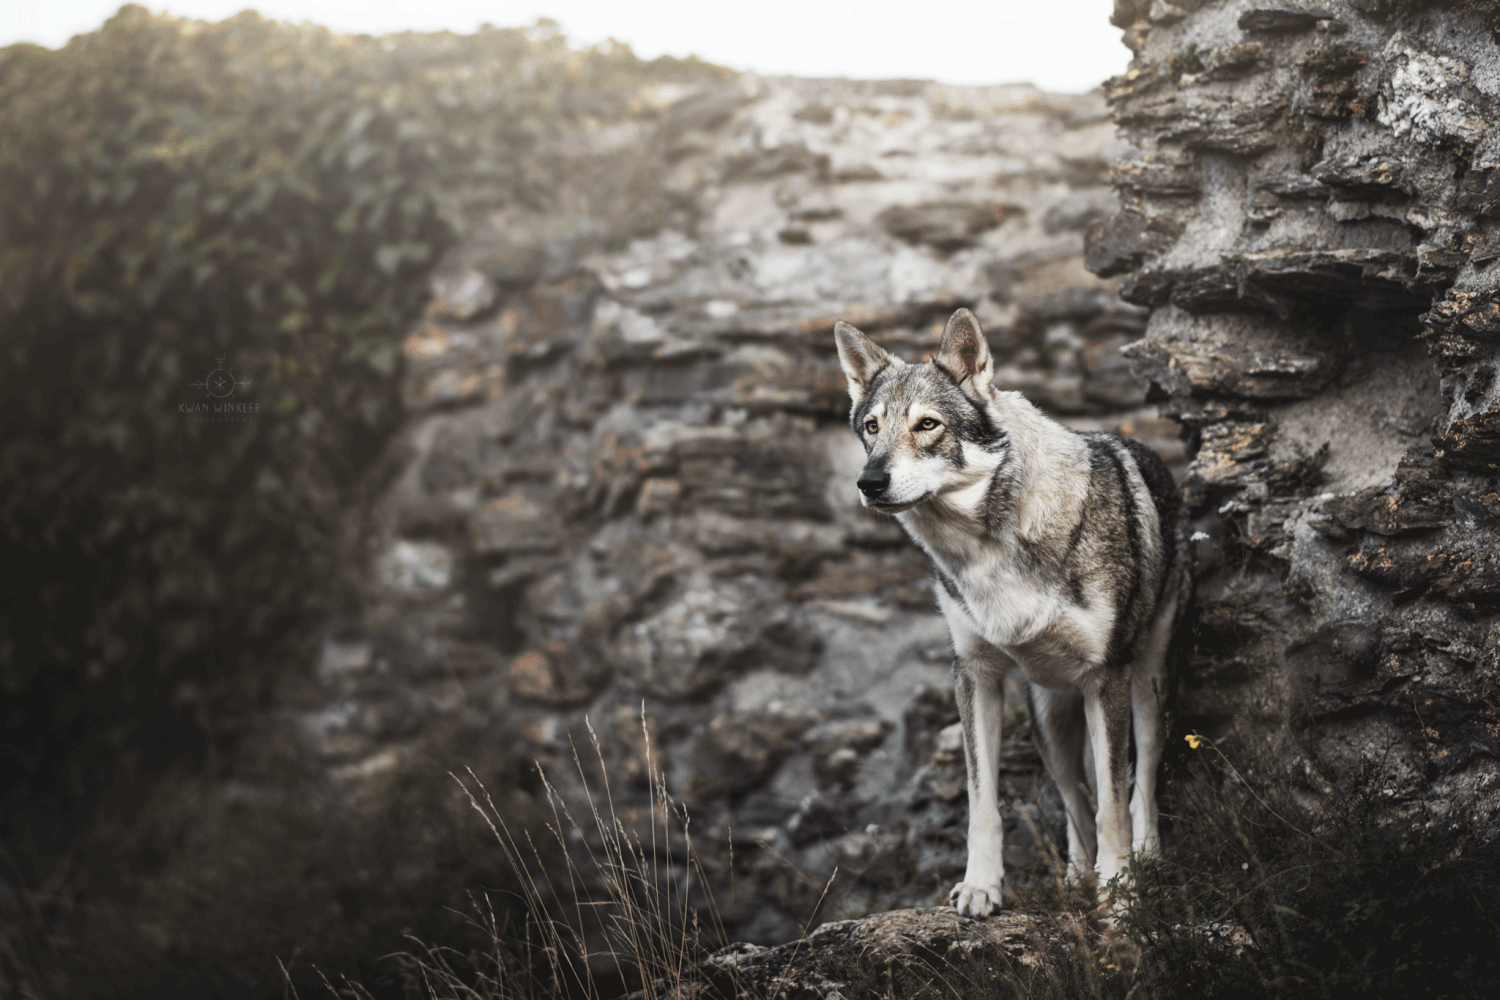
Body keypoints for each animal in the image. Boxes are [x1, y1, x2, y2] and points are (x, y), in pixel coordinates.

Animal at [834, 308, 1188, 917]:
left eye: (927, 425)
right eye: (872, 428)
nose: (870, 482)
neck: (990, 547)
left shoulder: (1107, 677)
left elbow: (1114, 802)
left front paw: (1119, 897)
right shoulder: (975, 674)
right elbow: (983, 803)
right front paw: (982, 886)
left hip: (1145, 689)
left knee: (1139, 784)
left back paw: (1145, 862)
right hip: (1049, 724)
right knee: (1074, 798)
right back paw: (1076, 877)